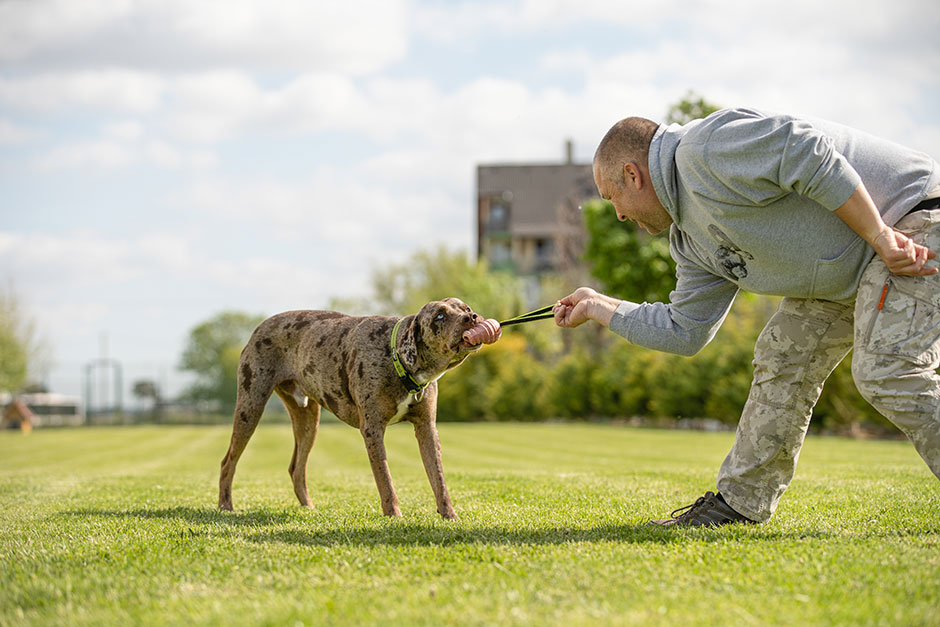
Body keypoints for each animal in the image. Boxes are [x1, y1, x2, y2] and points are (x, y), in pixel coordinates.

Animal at [219, 300, 492, 520]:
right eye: (439, 316)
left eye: (465, 308)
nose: (472, 317)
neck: (396, 357)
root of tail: (259, 326)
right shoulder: (372, 429)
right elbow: (385, 479)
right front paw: (394, 516)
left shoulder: (427, 429)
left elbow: (439, 480)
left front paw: (449, 515)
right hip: (249, 408)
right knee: (228, 461)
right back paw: (225, 506)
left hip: (308, 421)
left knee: (296, 467)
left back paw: (308, 507)